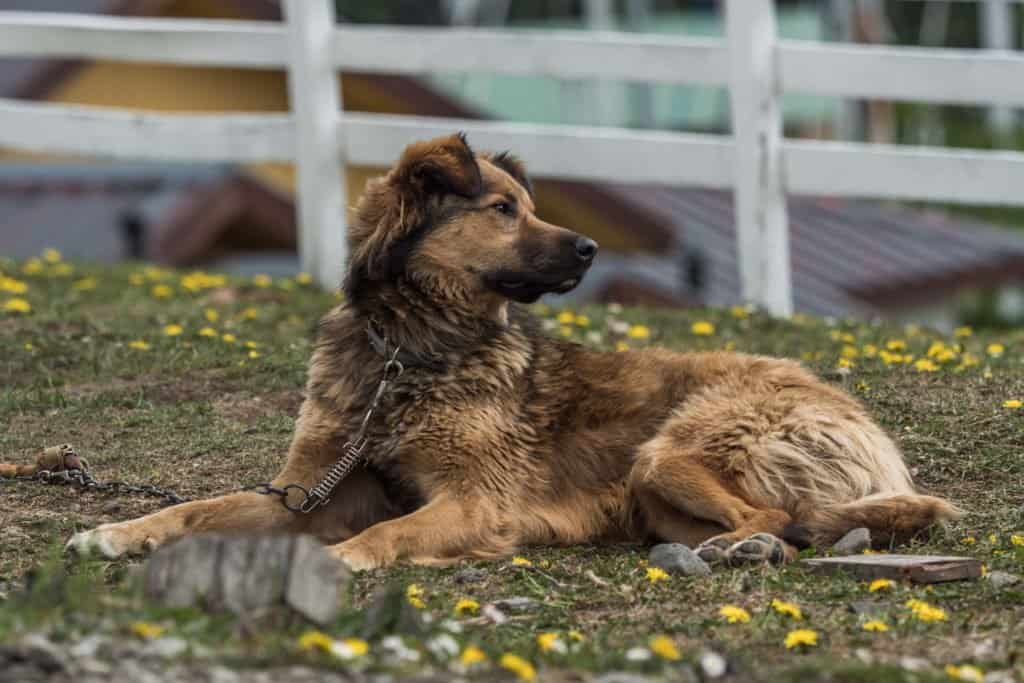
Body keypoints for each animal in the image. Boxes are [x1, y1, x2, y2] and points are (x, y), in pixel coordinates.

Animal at [66, 133, 958, 573]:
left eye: (527, 206)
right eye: (503, 209)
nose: (592, 248)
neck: (408, 353)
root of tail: (870, 431)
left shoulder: (476, 500)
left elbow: (393, 532)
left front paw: (348, 560)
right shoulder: (309, 493)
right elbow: (197, 507)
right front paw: (114, 532)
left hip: (672, 447)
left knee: (771, 514)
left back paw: (740, 546)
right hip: (657, 488)